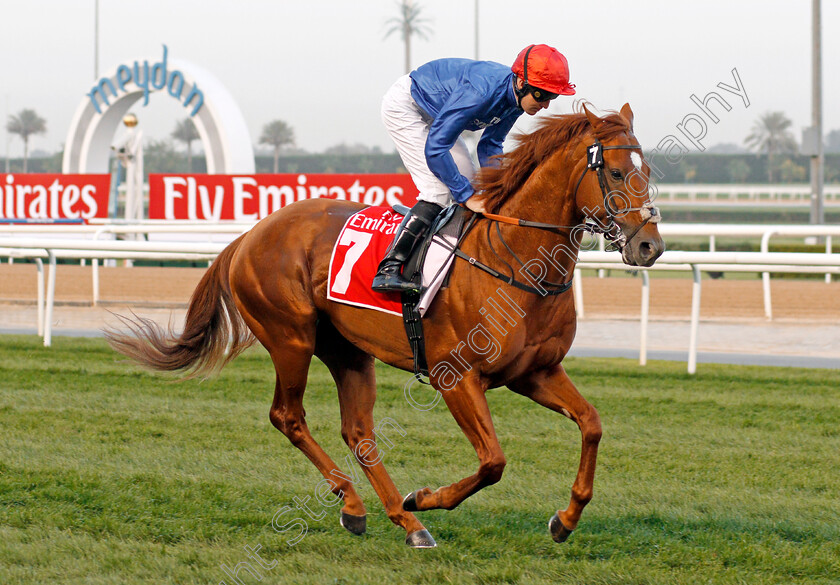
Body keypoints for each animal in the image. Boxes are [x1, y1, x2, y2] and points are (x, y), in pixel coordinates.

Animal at [110, 102, 664, 544]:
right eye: (617, 173)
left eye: (648, 169)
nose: (649, 247)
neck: (513, 261)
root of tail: (250, 234)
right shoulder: (456, 378)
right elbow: (493, 462)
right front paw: (426, 497)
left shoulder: (536, 372)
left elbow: (591, 424)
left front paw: (565, 519)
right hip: (290, 338)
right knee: (288, 417)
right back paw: (369, 505)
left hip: (348, 350)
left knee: (358, 432)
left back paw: (401, 520)